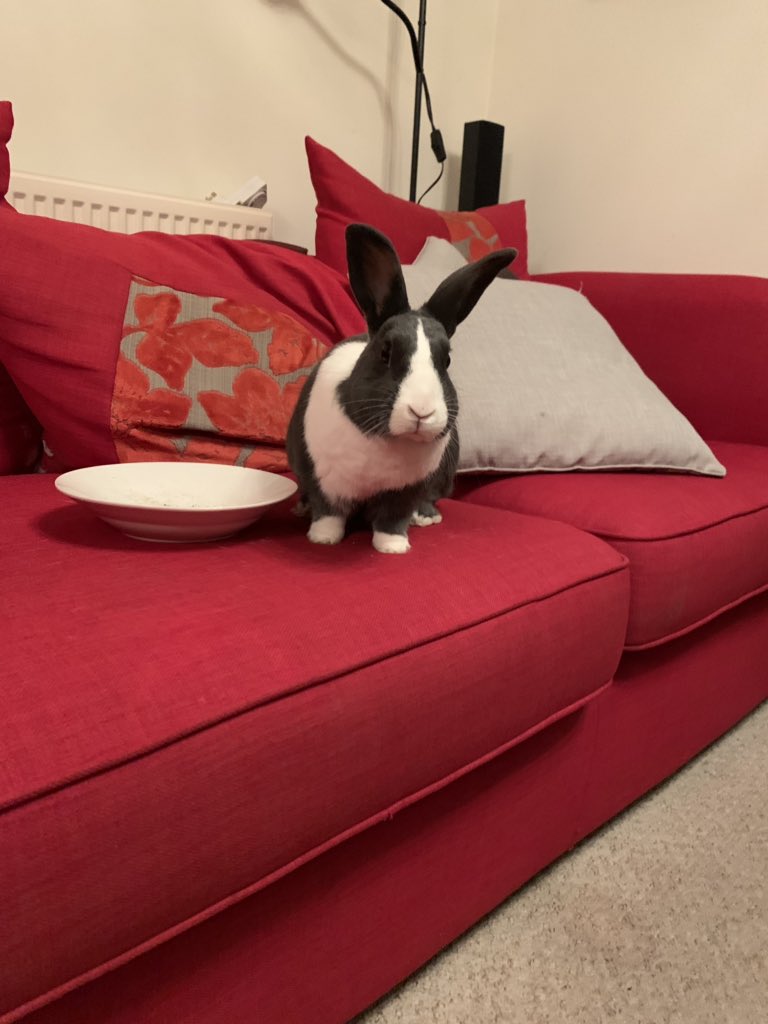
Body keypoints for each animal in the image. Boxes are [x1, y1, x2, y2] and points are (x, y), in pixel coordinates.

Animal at [286, 223, 516, 554]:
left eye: (446, 360)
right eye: (385, 352)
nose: (421, 411)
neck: (387, 440)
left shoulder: (407, 490)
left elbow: (392, 518)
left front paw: (393, 547)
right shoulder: (323, 480)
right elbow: (329, 512)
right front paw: (323, 538)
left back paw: (426, 517)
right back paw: (302, 509)